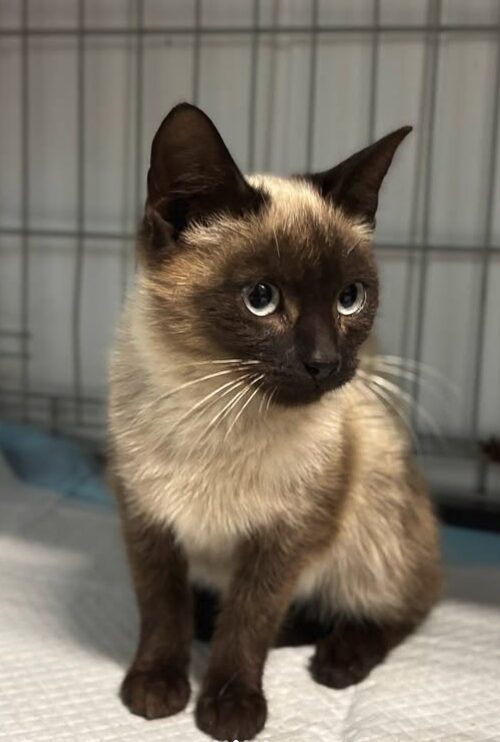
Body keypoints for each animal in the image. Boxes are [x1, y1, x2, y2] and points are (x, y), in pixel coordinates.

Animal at [107, 103, 440, 742]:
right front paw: (156, 689)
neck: (212, 407)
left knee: (406, 604)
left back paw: (337, 661)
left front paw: (231, 709)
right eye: (260, 299)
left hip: (372, 512)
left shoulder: (285, 540)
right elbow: (161, 609)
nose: (325, 363)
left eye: (350, 298)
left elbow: (250, 621)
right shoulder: (147, 523)